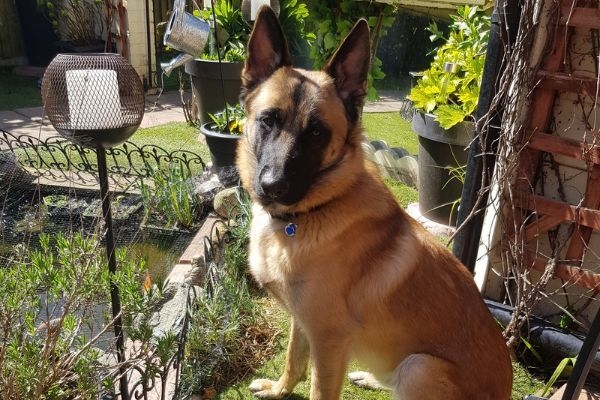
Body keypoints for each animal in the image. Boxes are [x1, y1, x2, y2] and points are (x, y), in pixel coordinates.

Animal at [237, 6, 512, 400]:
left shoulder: (328, 343)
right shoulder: (303, 322)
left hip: (419, 367)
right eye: (268, 120)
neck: (314, 210)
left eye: (317, 132)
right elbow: (293, 357)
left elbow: (316, 386)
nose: (272, 187)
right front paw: (279, 389)